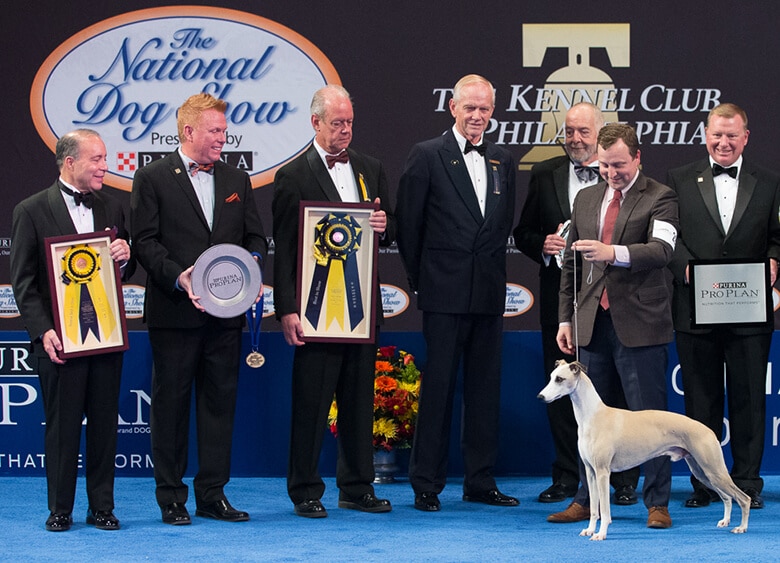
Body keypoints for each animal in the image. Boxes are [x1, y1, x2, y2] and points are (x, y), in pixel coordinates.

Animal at [536, 362, 748, 540]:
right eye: (551, 376)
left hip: (713, 470)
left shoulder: (603, 472)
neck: (593, 415)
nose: (540, 397)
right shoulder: (591, 472)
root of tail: (709, 431)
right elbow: (595, 508)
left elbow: (604, 509)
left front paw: (601, 534)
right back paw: (725, 521)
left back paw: (741, 527)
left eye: (560, 379)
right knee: (728, 497)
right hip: (703, 473)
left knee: (743, 498)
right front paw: (589, 530)